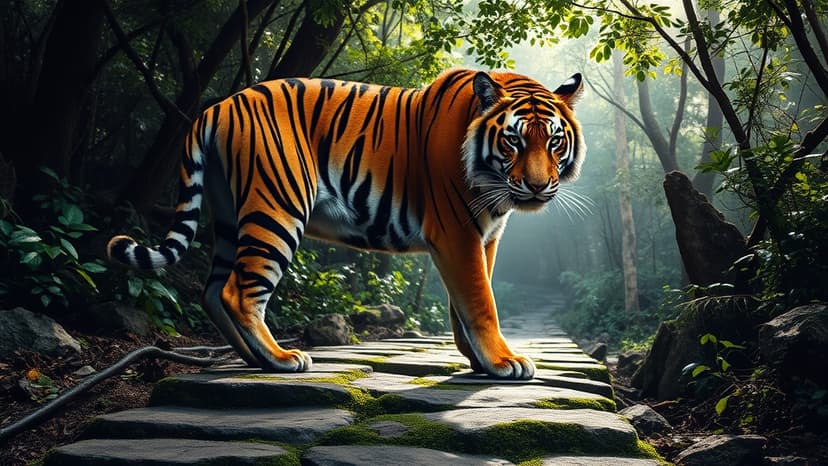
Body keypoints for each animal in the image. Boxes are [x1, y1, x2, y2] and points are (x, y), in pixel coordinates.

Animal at [107, 68, 585, 380]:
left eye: (554, 141)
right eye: (513, 140)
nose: (537, 186)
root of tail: (218, 105)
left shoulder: (483, 237)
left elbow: (463, 302)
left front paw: (479, 360)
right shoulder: (457, 231)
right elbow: (481, 299)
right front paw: (504, 362)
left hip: (227, 214)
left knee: (211, 290)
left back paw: (252, 359)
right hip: (277, 207)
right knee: (238, 291)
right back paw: (281, 359)